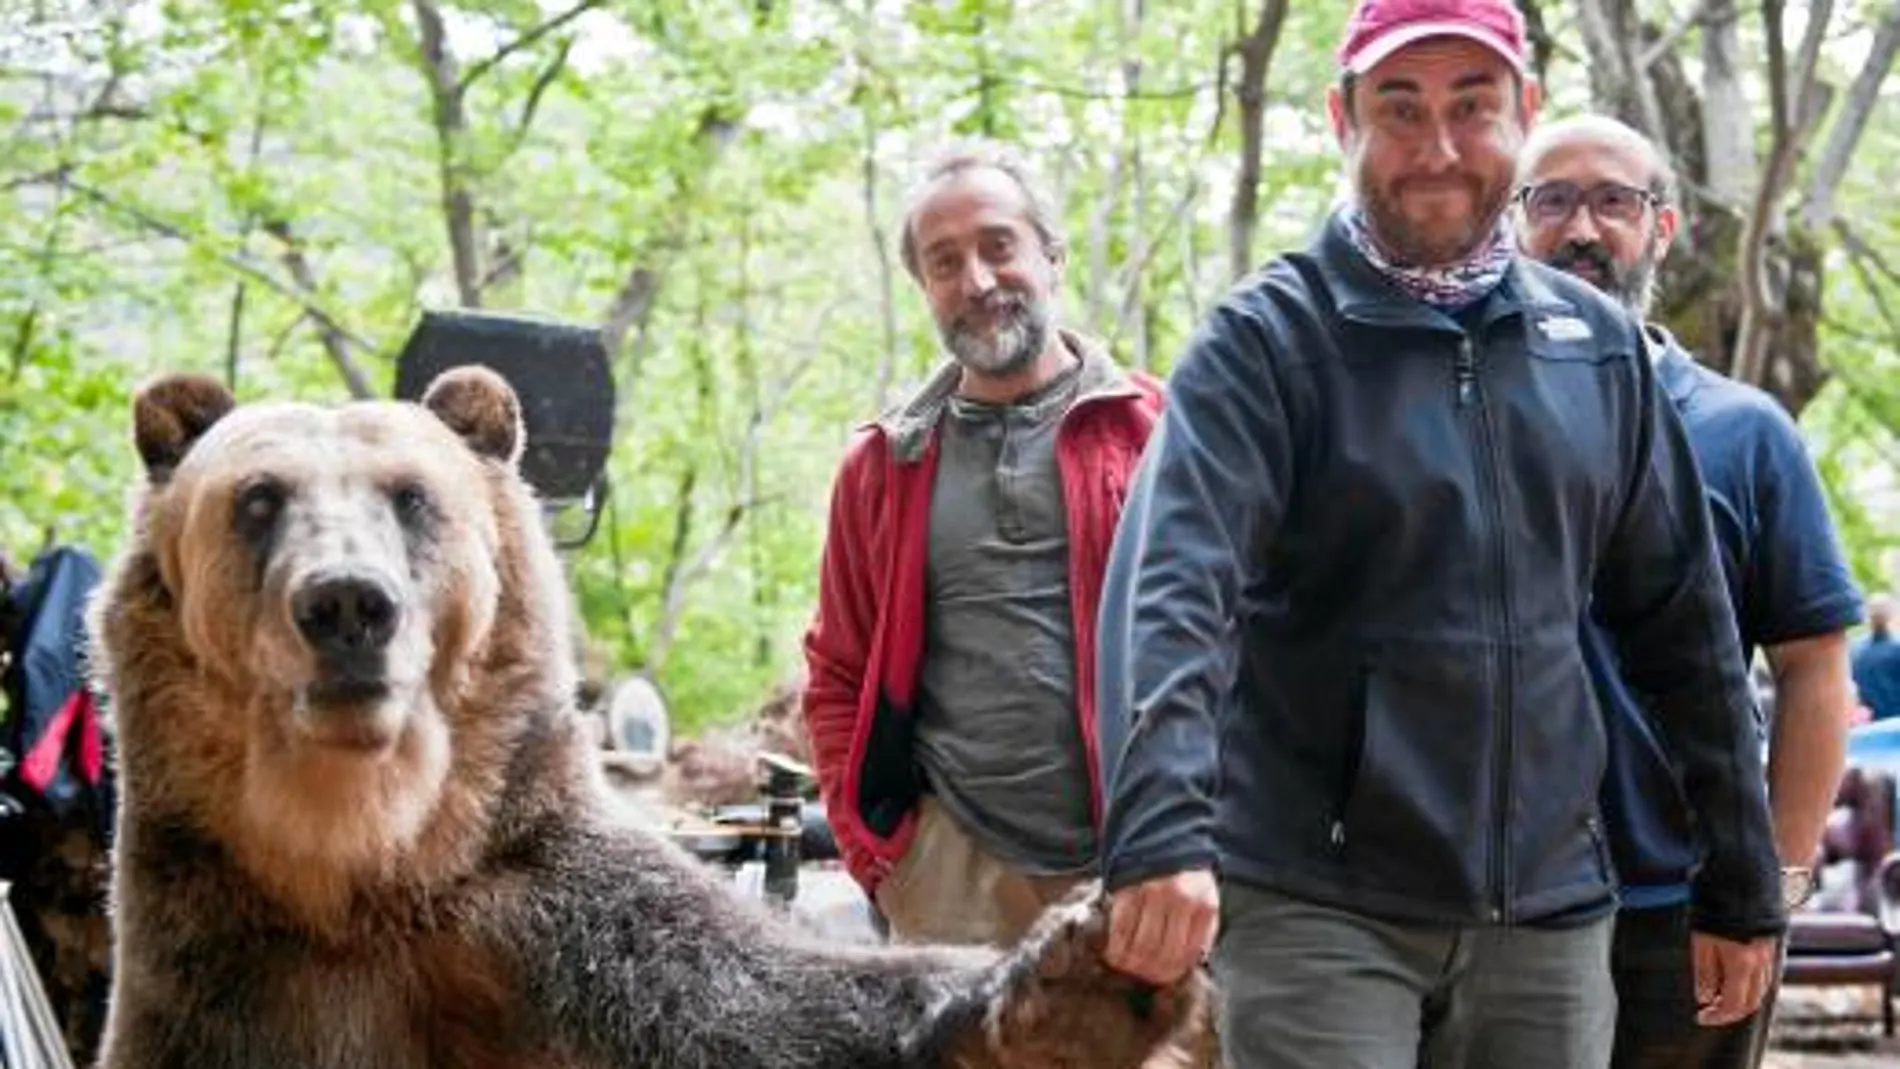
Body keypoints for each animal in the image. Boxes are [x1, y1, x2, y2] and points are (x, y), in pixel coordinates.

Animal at [85, 368, 1200, 1069]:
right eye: (258, 497)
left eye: (409, 495)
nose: (348, 604)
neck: (364, 867)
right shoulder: (223, 966)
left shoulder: (553, 924)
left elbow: (781, 1011)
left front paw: (1082, 979)